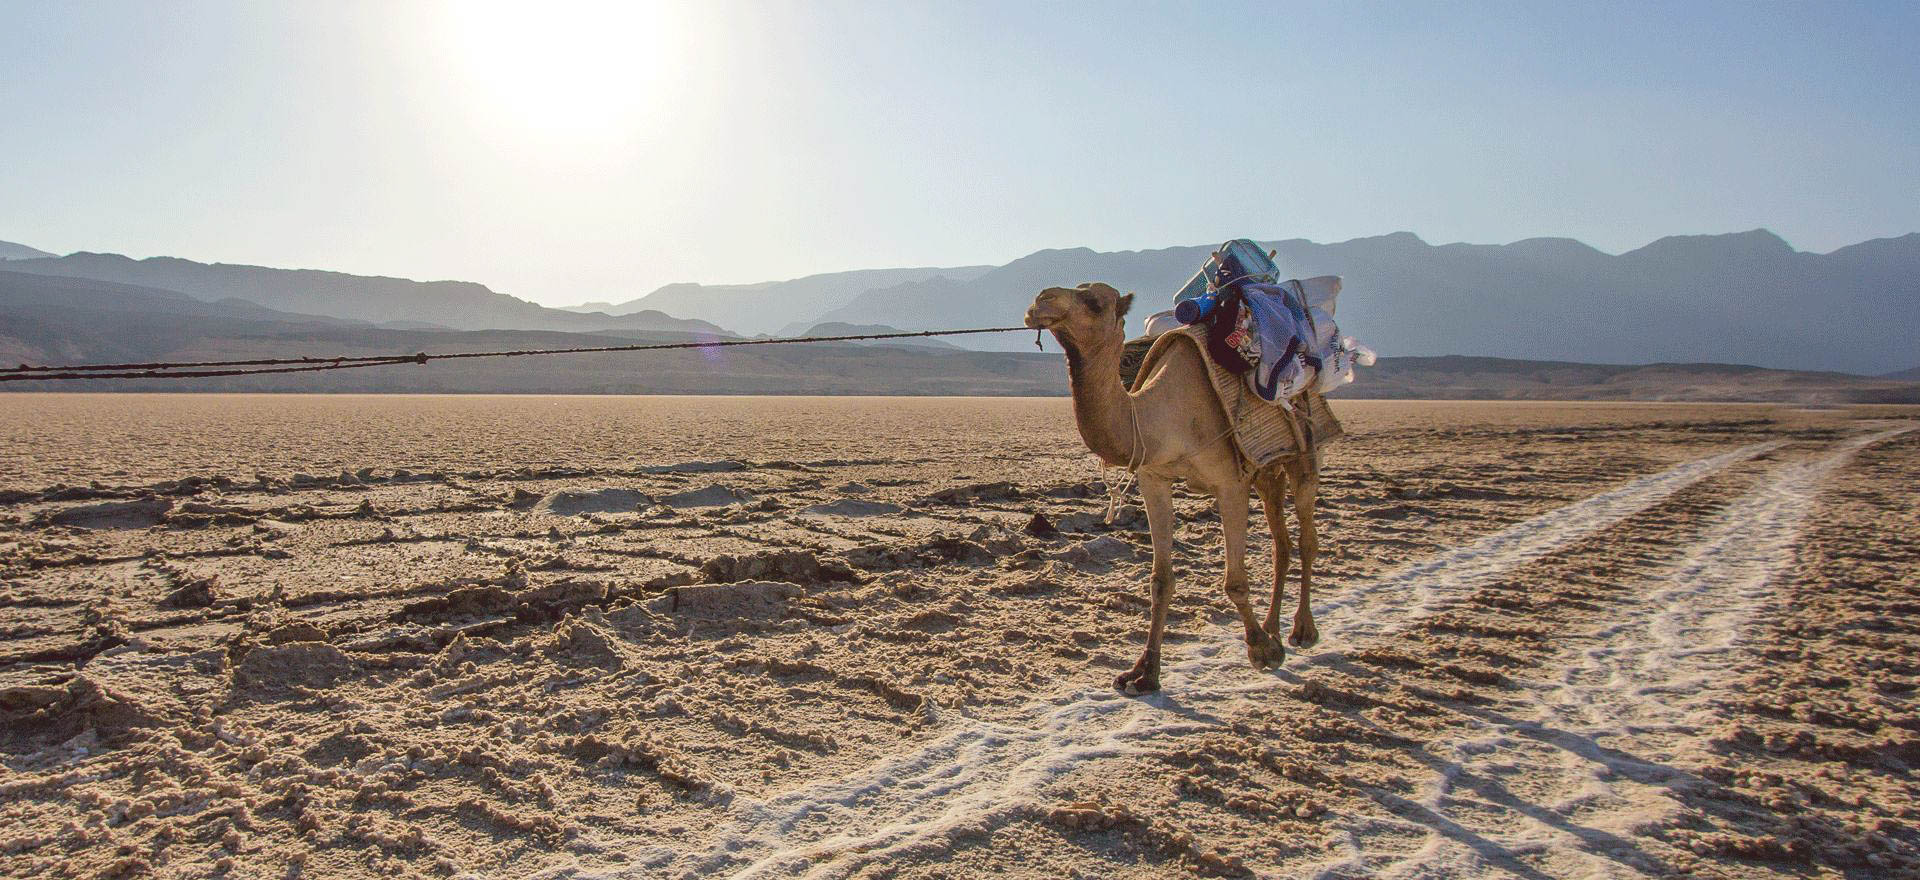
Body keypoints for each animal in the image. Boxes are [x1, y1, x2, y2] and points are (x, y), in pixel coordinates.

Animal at [1021, 282, 1320, 695]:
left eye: (1095, 302)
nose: (1041, 301)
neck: (1160, 417)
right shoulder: (1154, 479)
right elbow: (1160, 581)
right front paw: (1144, 672)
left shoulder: (1230, 484)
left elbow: (1235, 581)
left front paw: (1261, 650)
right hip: (1264, 470)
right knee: (1282, 543)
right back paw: (1274, 628)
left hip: (1302, 450)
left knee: (1306, 537)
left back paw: (1301, 631)